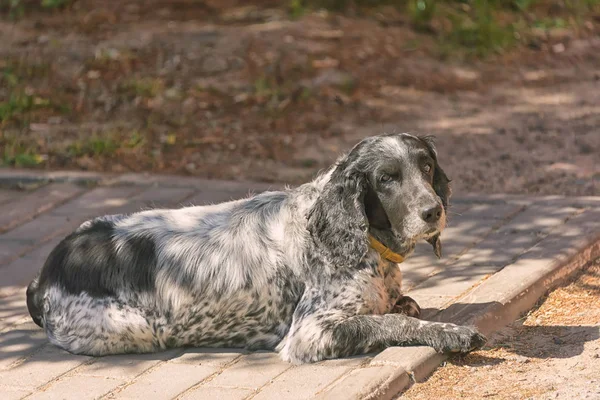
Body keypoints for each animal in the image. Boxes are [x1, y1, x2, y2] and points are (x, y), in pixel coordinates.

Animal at [27, 134, 488, 362]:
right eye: (387, 178)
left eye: (426, 166)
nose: (433, 211)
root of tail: (44, 273)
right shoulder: (311, 332)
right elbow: (391, 322)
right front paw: (452, 333)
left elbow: (402, 308)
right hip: (133, 328)